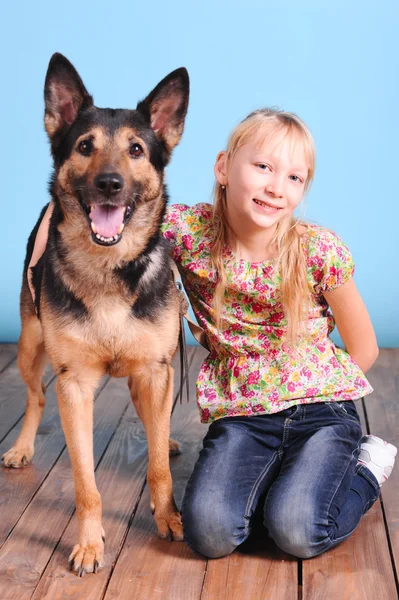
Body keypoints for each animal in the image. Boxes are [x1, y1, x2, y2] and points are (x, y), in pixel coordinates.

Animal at [1, 54, 189, 576]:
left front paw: (169, 518)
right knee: (34, 398)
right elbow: (85, 482)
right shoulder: (74, 384)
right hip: (29, 346)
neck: (109, 268)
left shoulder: (154, 370)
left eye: (137, 150)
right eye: (85, 146)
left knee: (154, 420)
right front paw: (89, 543)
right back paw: (22, 446)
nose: (109, 184)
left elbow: (159, 468)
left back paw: (164, 437)